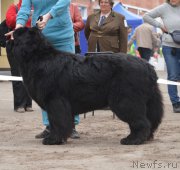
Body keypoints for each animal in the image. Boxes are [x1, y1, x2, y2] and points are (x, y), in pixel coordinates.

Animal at [12, 27, 163, 145]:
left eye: (19, 33)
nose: (11, 33)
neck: (39, 57)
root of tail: (148, 66)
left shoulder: (55, 101)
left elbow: (57, 121)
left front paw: (53, 139)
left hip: (125, 101)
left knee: (141, 122)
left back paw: (133, 140)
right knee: (150, 121)